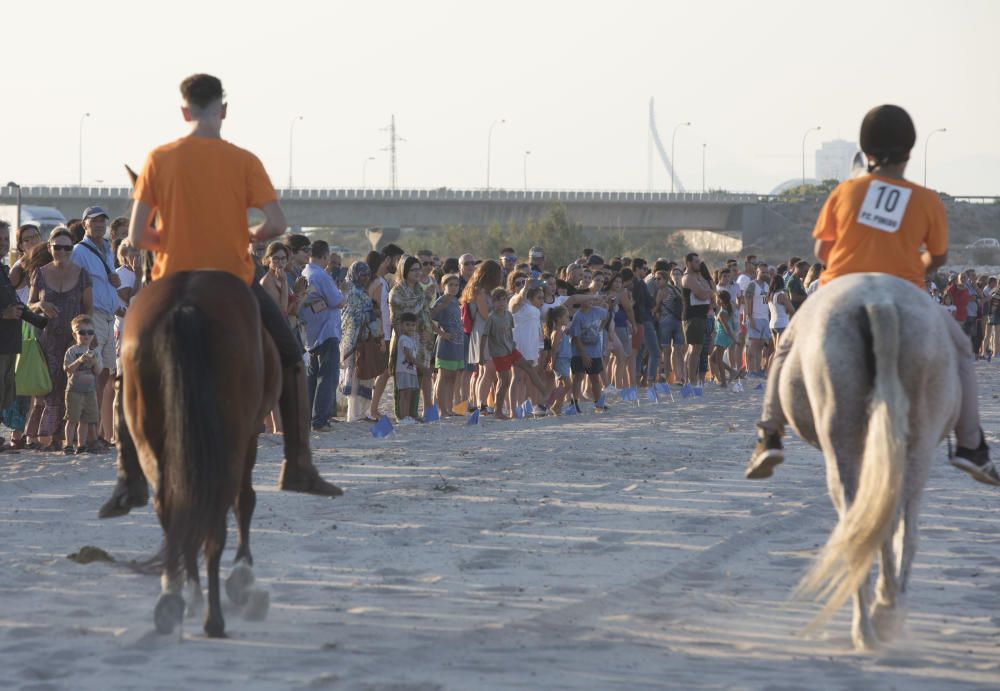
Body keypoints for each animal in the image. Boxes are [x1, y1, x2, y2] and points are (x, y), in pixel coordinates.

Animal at [124, 270, 282, 636]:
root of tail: (185, 307)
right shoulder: (249, 434)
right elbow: (245, 500)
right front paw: (242, 576)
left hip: (150, 431)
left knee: (172, 505)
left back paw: (176, 597)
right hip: (231, 437)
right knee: (215, 513)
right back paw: (213, 616)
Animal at [772, 272, 960, 648]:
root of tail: (880, 303)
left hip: (843, 433)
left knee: (857, 521)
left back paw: (869, 622)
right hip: (916, 437)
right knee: (898, 520)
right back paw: (884, 611)